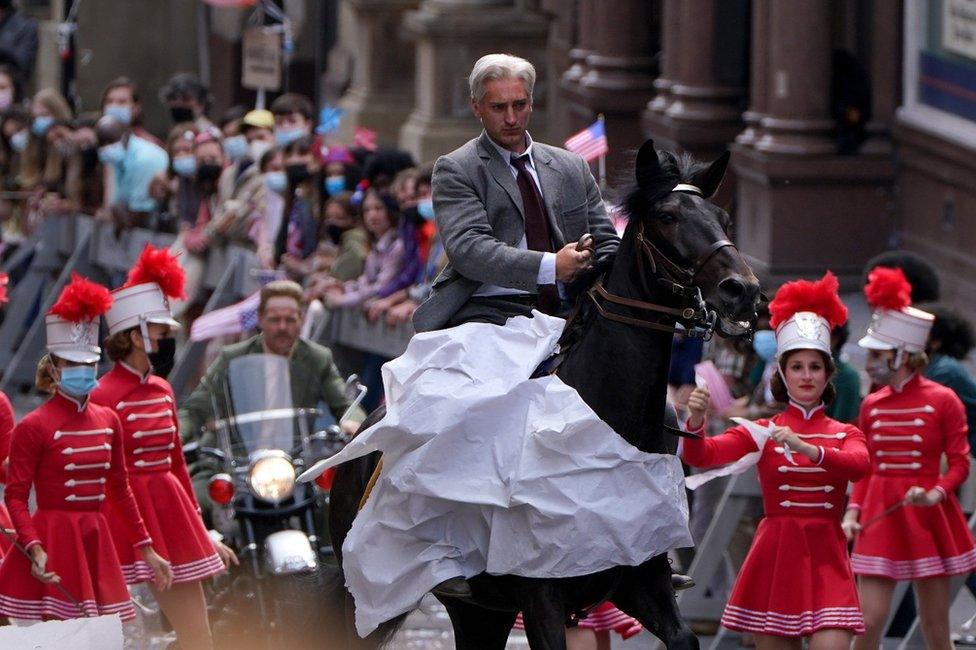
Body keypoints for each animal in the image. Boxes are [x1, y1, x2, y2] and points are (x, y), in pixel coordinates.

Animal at [324, 139, 760, 644]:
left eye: (724, 219)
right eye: (668, 216)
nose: (743, 291)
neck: (598, 421)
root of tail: (365, 426)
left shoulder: (645, 584)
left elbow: (683, 635)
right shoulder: (542, 602)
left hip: (480, 611)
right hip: (367, 601)